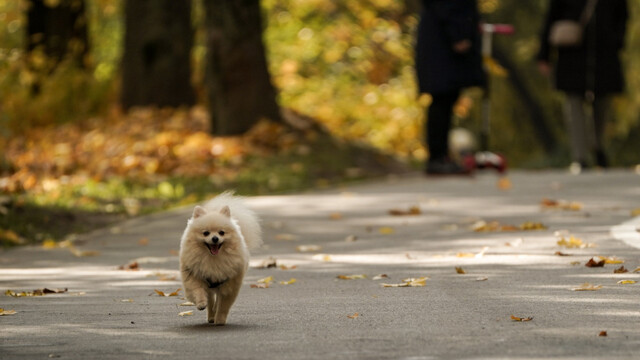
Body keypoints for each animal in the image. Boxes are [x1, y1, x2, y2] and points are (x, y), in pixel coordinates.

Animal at [179, 193, 262, 324]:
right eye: (206, 233)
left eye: (222, 232)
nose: (215, 238)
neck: (213, 259)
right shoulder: (194, 276)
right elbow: (198, 290)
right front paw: (201, 303)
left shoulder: (229, 284)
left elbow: (223, 305)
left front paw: (220, 320)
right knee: (211, 299)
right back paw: (211, 316)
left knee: (216, 301)